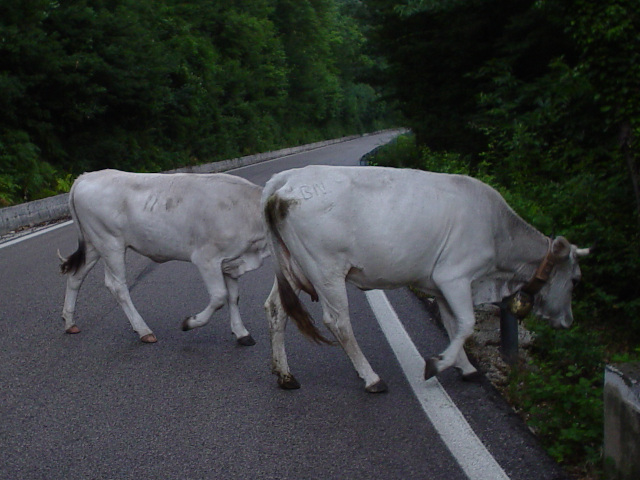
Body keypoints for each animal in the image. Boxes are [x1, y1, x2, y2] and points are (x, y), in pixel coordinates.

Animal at [58, 170, 268, 344]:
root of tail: (86, 176)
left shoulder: (231, 261)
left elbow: (234, 297)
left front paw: (241, 333)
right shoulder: (206, 258)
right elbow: (219, 297)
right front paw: (189, 322)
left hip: (93, 244)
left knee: (76, 276)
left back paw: (70, 322)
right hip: (110, 242)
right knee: (117, 285)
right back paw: (144, 331)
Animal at [262, 164, 592, 390]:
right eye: (576, 280)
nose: (568, 321)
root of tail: (288, 178)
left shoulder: (440, 286)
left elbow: (453, 324)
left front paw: (465, 367)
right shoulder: (455, 276)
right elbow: (467, 324)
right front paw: (438, 364)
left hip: (294, 266)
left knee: (277, 309)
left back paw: (285, 375)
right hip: (325, 269)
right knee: (338, 321)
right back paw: (371, 378)